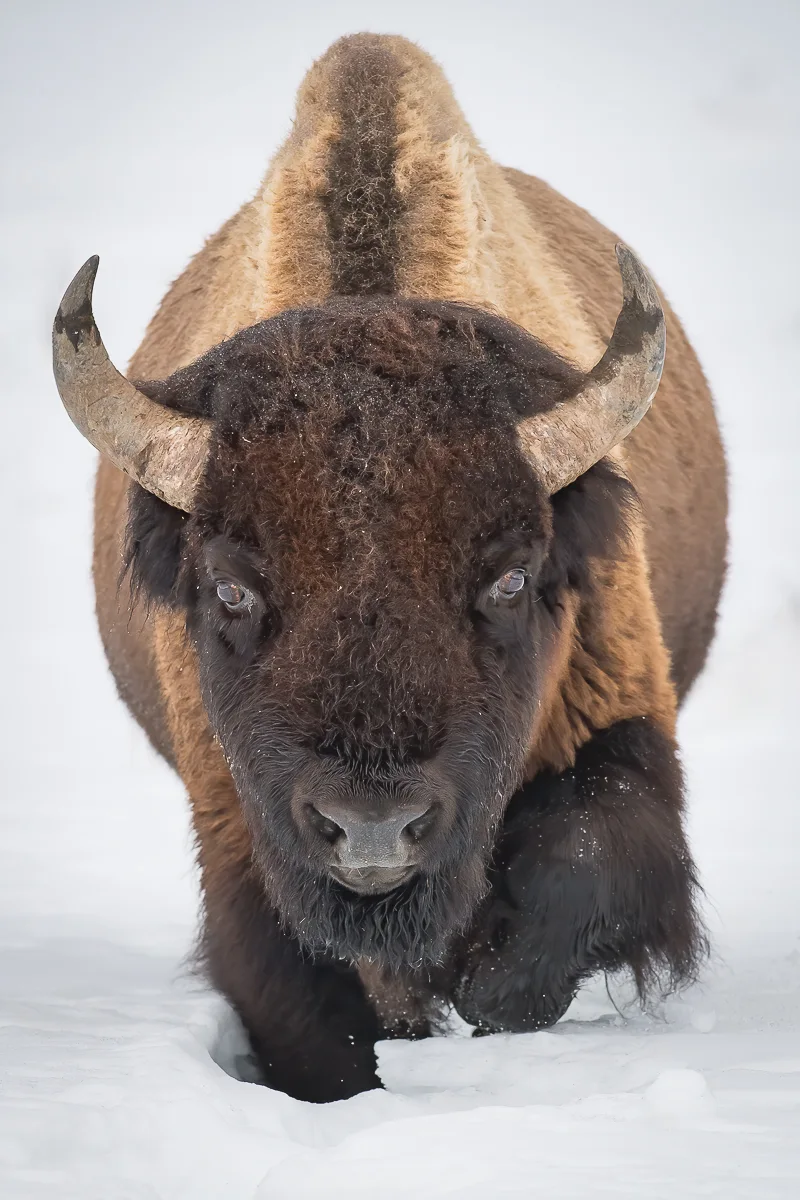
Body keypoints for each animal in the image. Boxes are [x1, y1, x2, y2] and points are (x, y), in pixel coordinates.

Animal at [51, 35, 724, 1104]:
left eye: (511, 579)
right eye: (231, 587)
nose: (373, 832)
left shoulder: (619, 723)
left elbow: (583, 869)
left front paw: (482, 992)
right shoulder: (237, 836)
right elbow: (314, 1017)